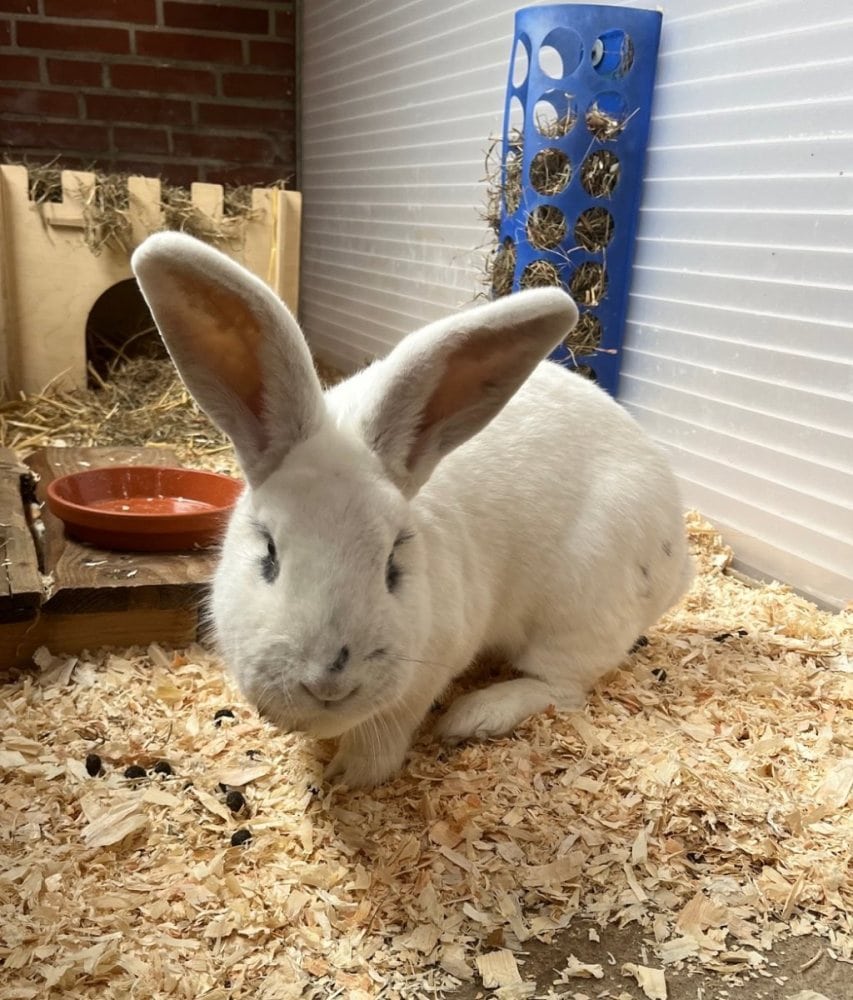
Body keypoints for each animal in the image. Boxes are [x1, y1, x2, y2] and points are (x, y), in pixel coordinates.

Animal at [131, 232, 692, 788]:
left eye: (392, 562)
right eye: (268, 553)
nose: (329, 681)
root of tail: (680, 559)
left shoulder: (430, 666)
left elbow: (389, 730)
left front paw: (348, 777)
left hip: (578, 611)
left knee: (561, 686)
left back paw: (475, 715)